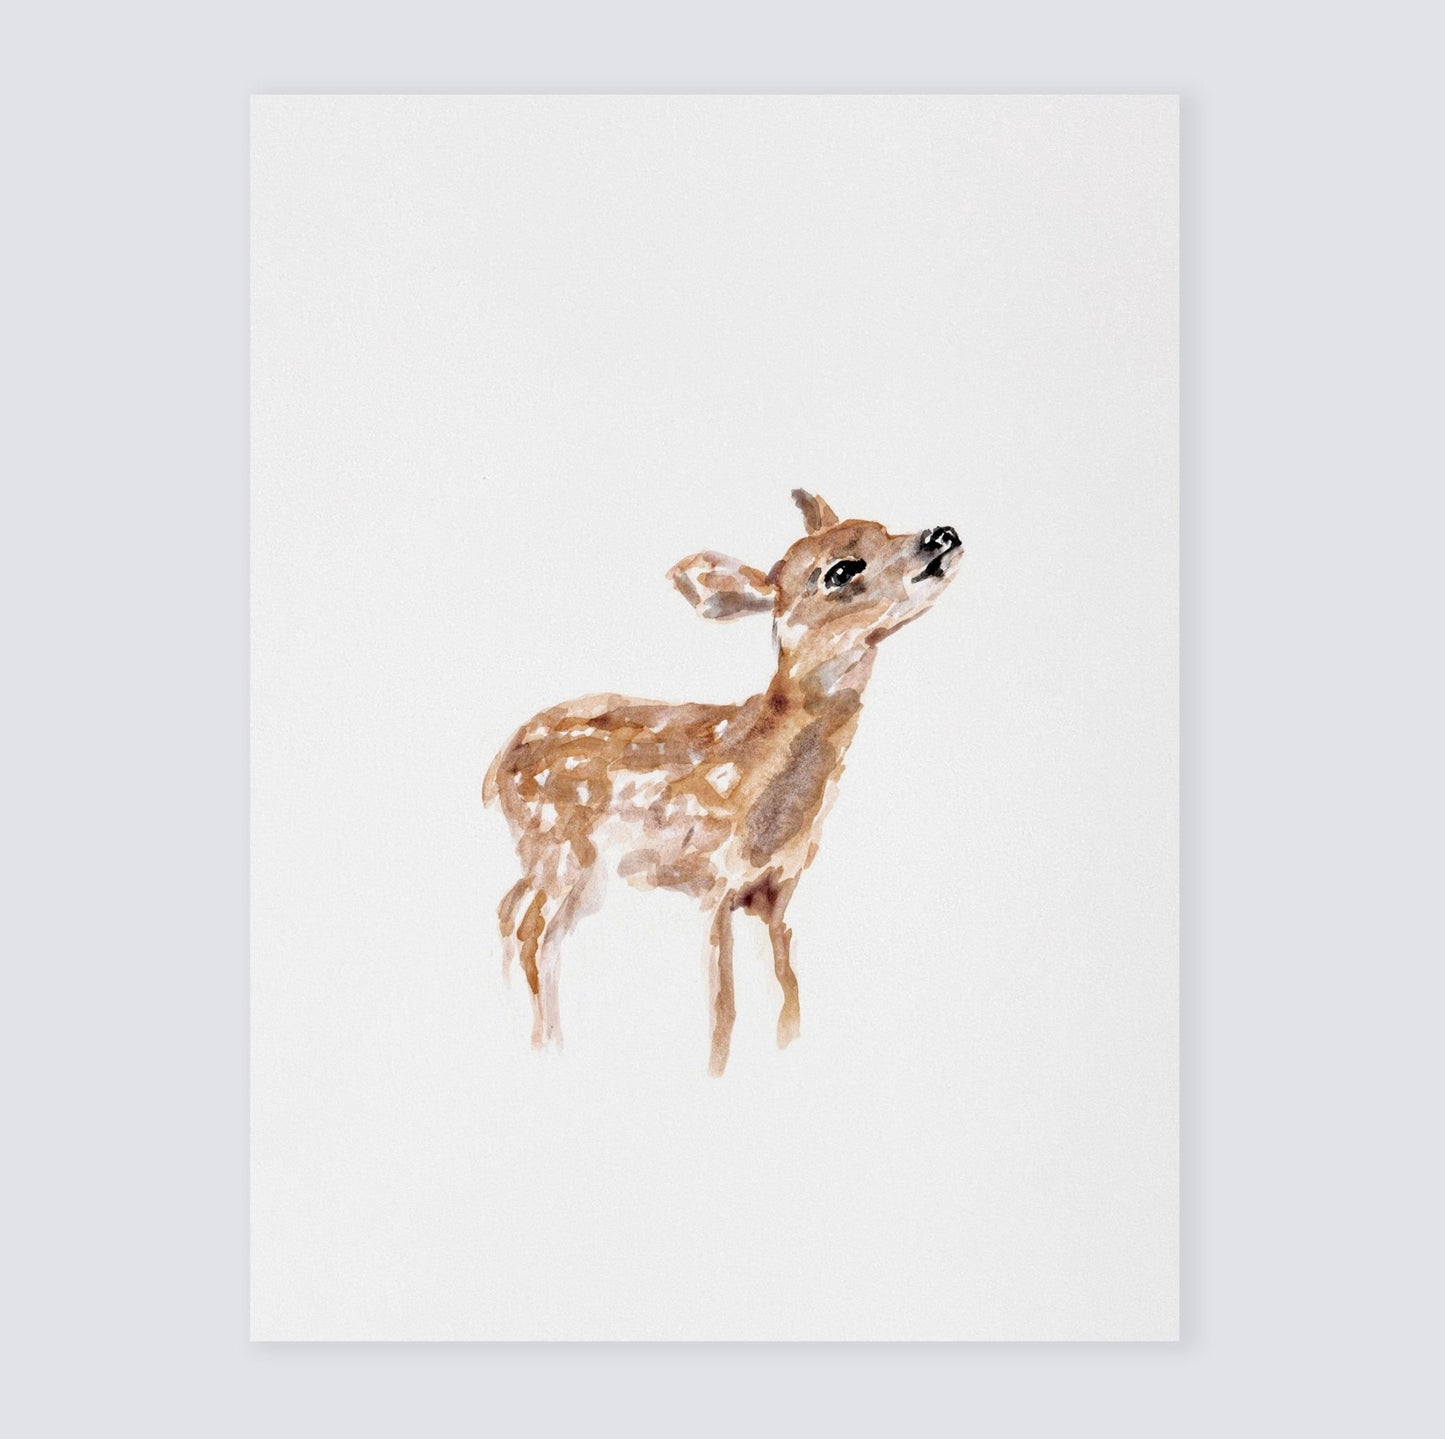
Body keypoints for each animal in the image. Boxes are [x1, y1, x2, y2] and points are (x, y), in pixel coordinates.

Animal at [483, 490, 964, 1075]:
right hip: (557, 847)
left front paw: (786, 1045)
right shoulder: (714, 880)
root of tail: (493, 770)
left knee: (519, 917)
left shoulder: (778, 889)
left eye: (882, 526)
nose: (941, 534)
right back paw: (544, 1042)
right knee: (529, 930)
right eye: (841, 570)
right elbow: (724, 1006)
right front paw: (716, 1069)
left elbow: (786, 990)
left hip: (568, 867)